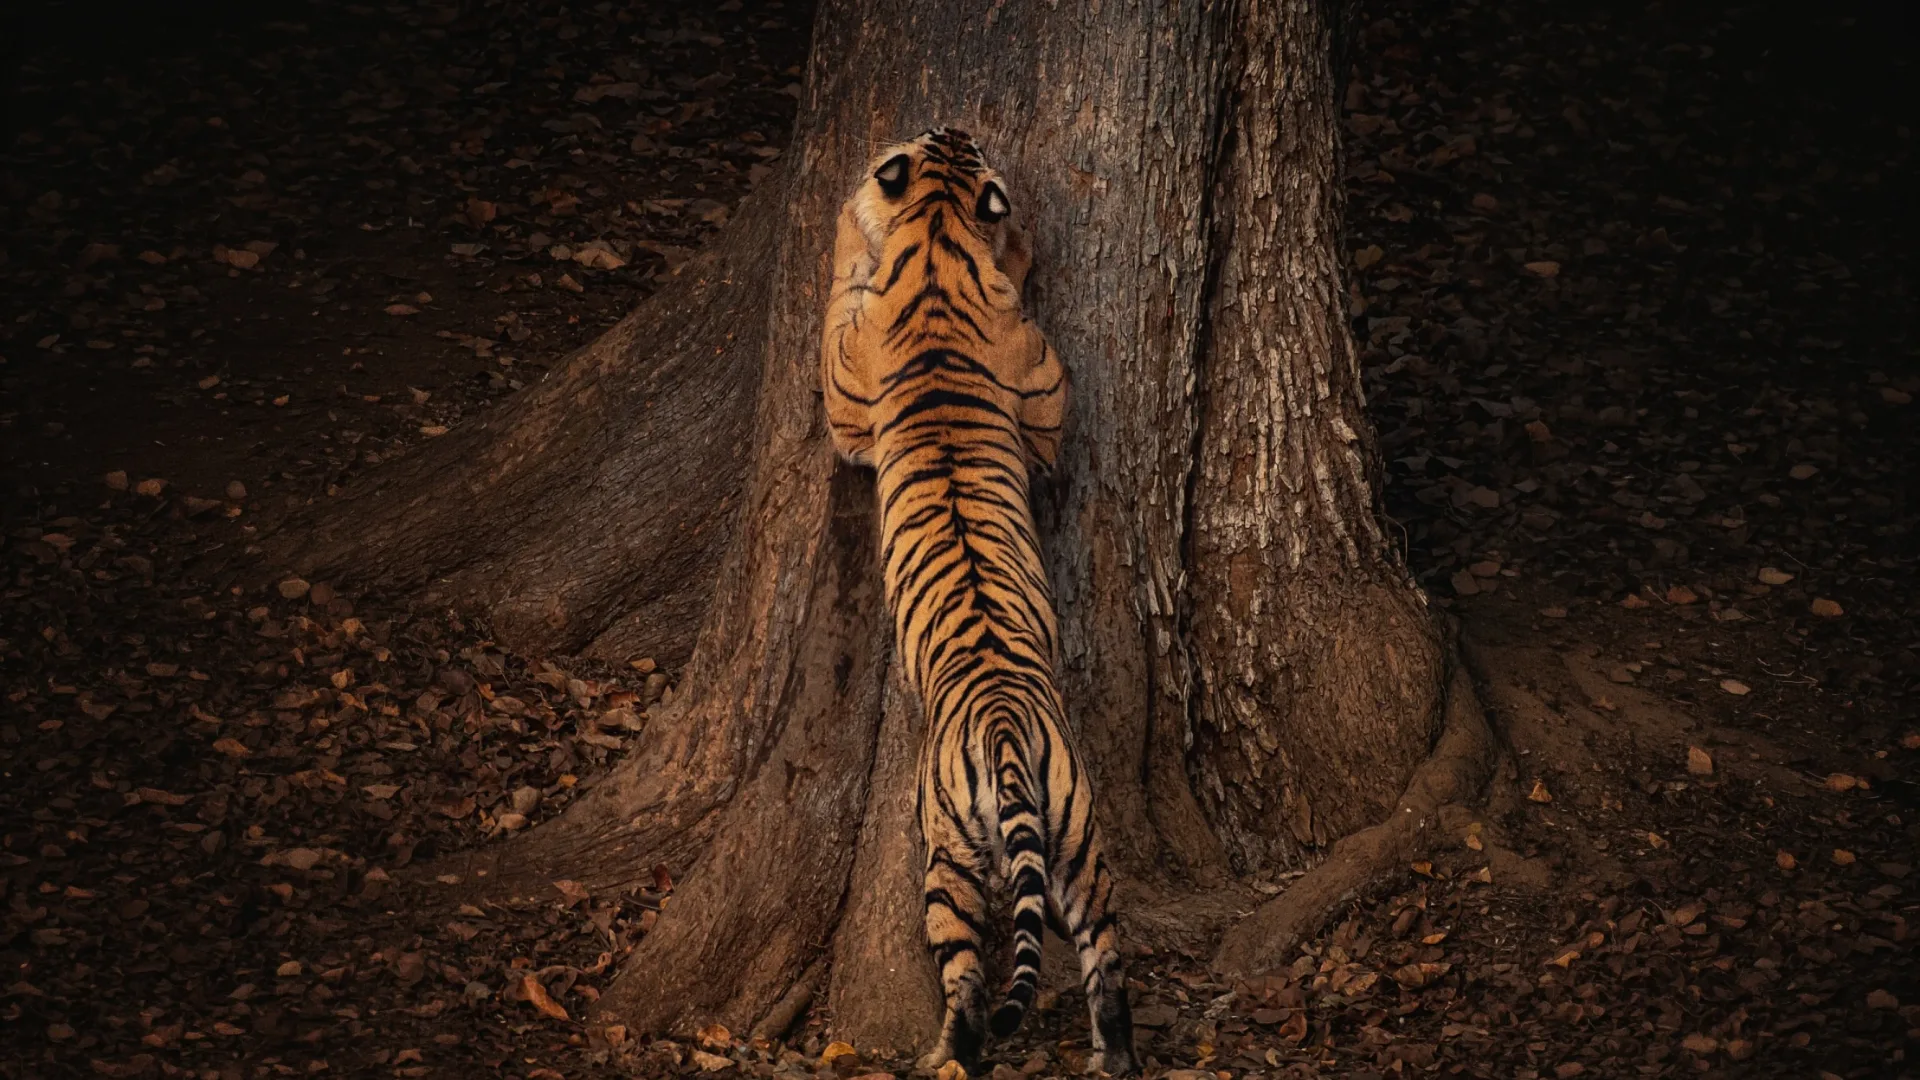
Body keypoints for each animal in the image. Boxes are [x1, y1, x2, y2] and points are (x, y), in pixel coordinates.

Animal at [819, 128, 1135, 1075]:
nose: (956, 128)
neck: (938, 238)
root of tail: (998, 728)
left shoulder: (849, 402)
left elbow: (836, 296)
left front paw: (847, 222)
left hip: (948, 861)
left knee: (964, 977)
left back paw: (948, 1054)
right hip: (1080, 840)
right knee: (1108, 958)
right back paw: (1113, 1058)